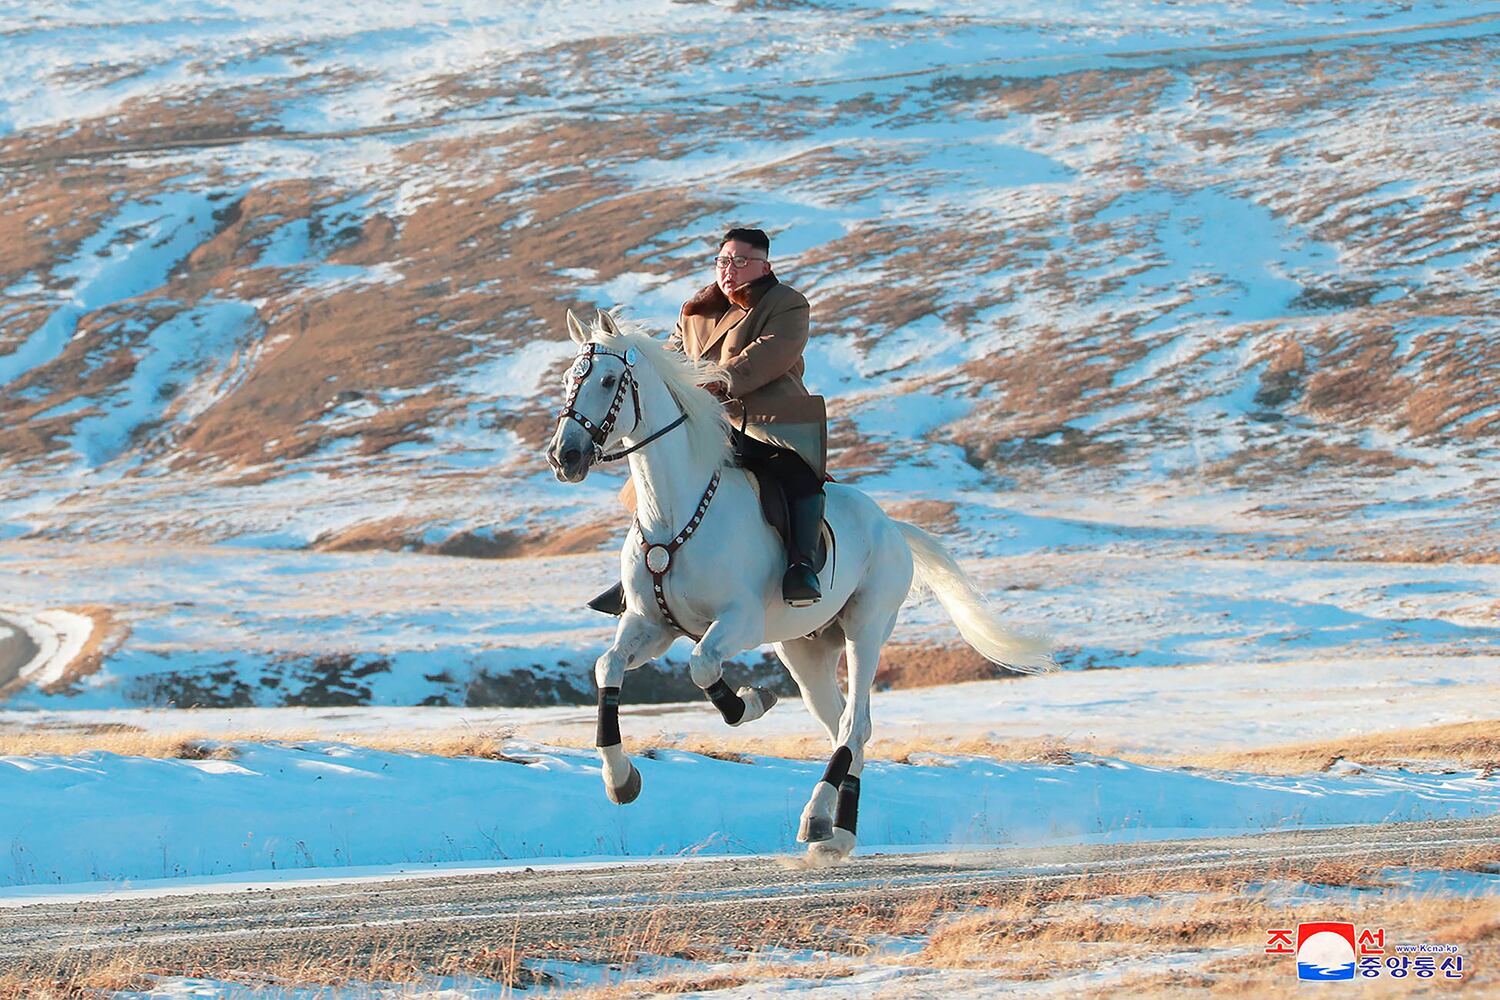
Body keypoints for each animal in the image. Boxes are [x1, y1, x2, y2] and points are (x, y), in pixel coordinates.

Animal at [546, 308, 1050, 863]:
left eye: (608, 380)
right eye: (569, 379)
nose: (564, 456)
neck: (674, 511)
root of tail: (892, 526)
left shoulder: (738, 621)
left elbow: (702, 666)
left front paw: (751, 702)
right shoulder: (650, 625)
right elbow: (607, 666)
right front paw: (621, 780)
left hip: (865, 628)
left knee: (854, 724)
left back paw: (816, 819)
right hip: (804, 650)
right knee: (844, 727)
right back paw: (838, 832)